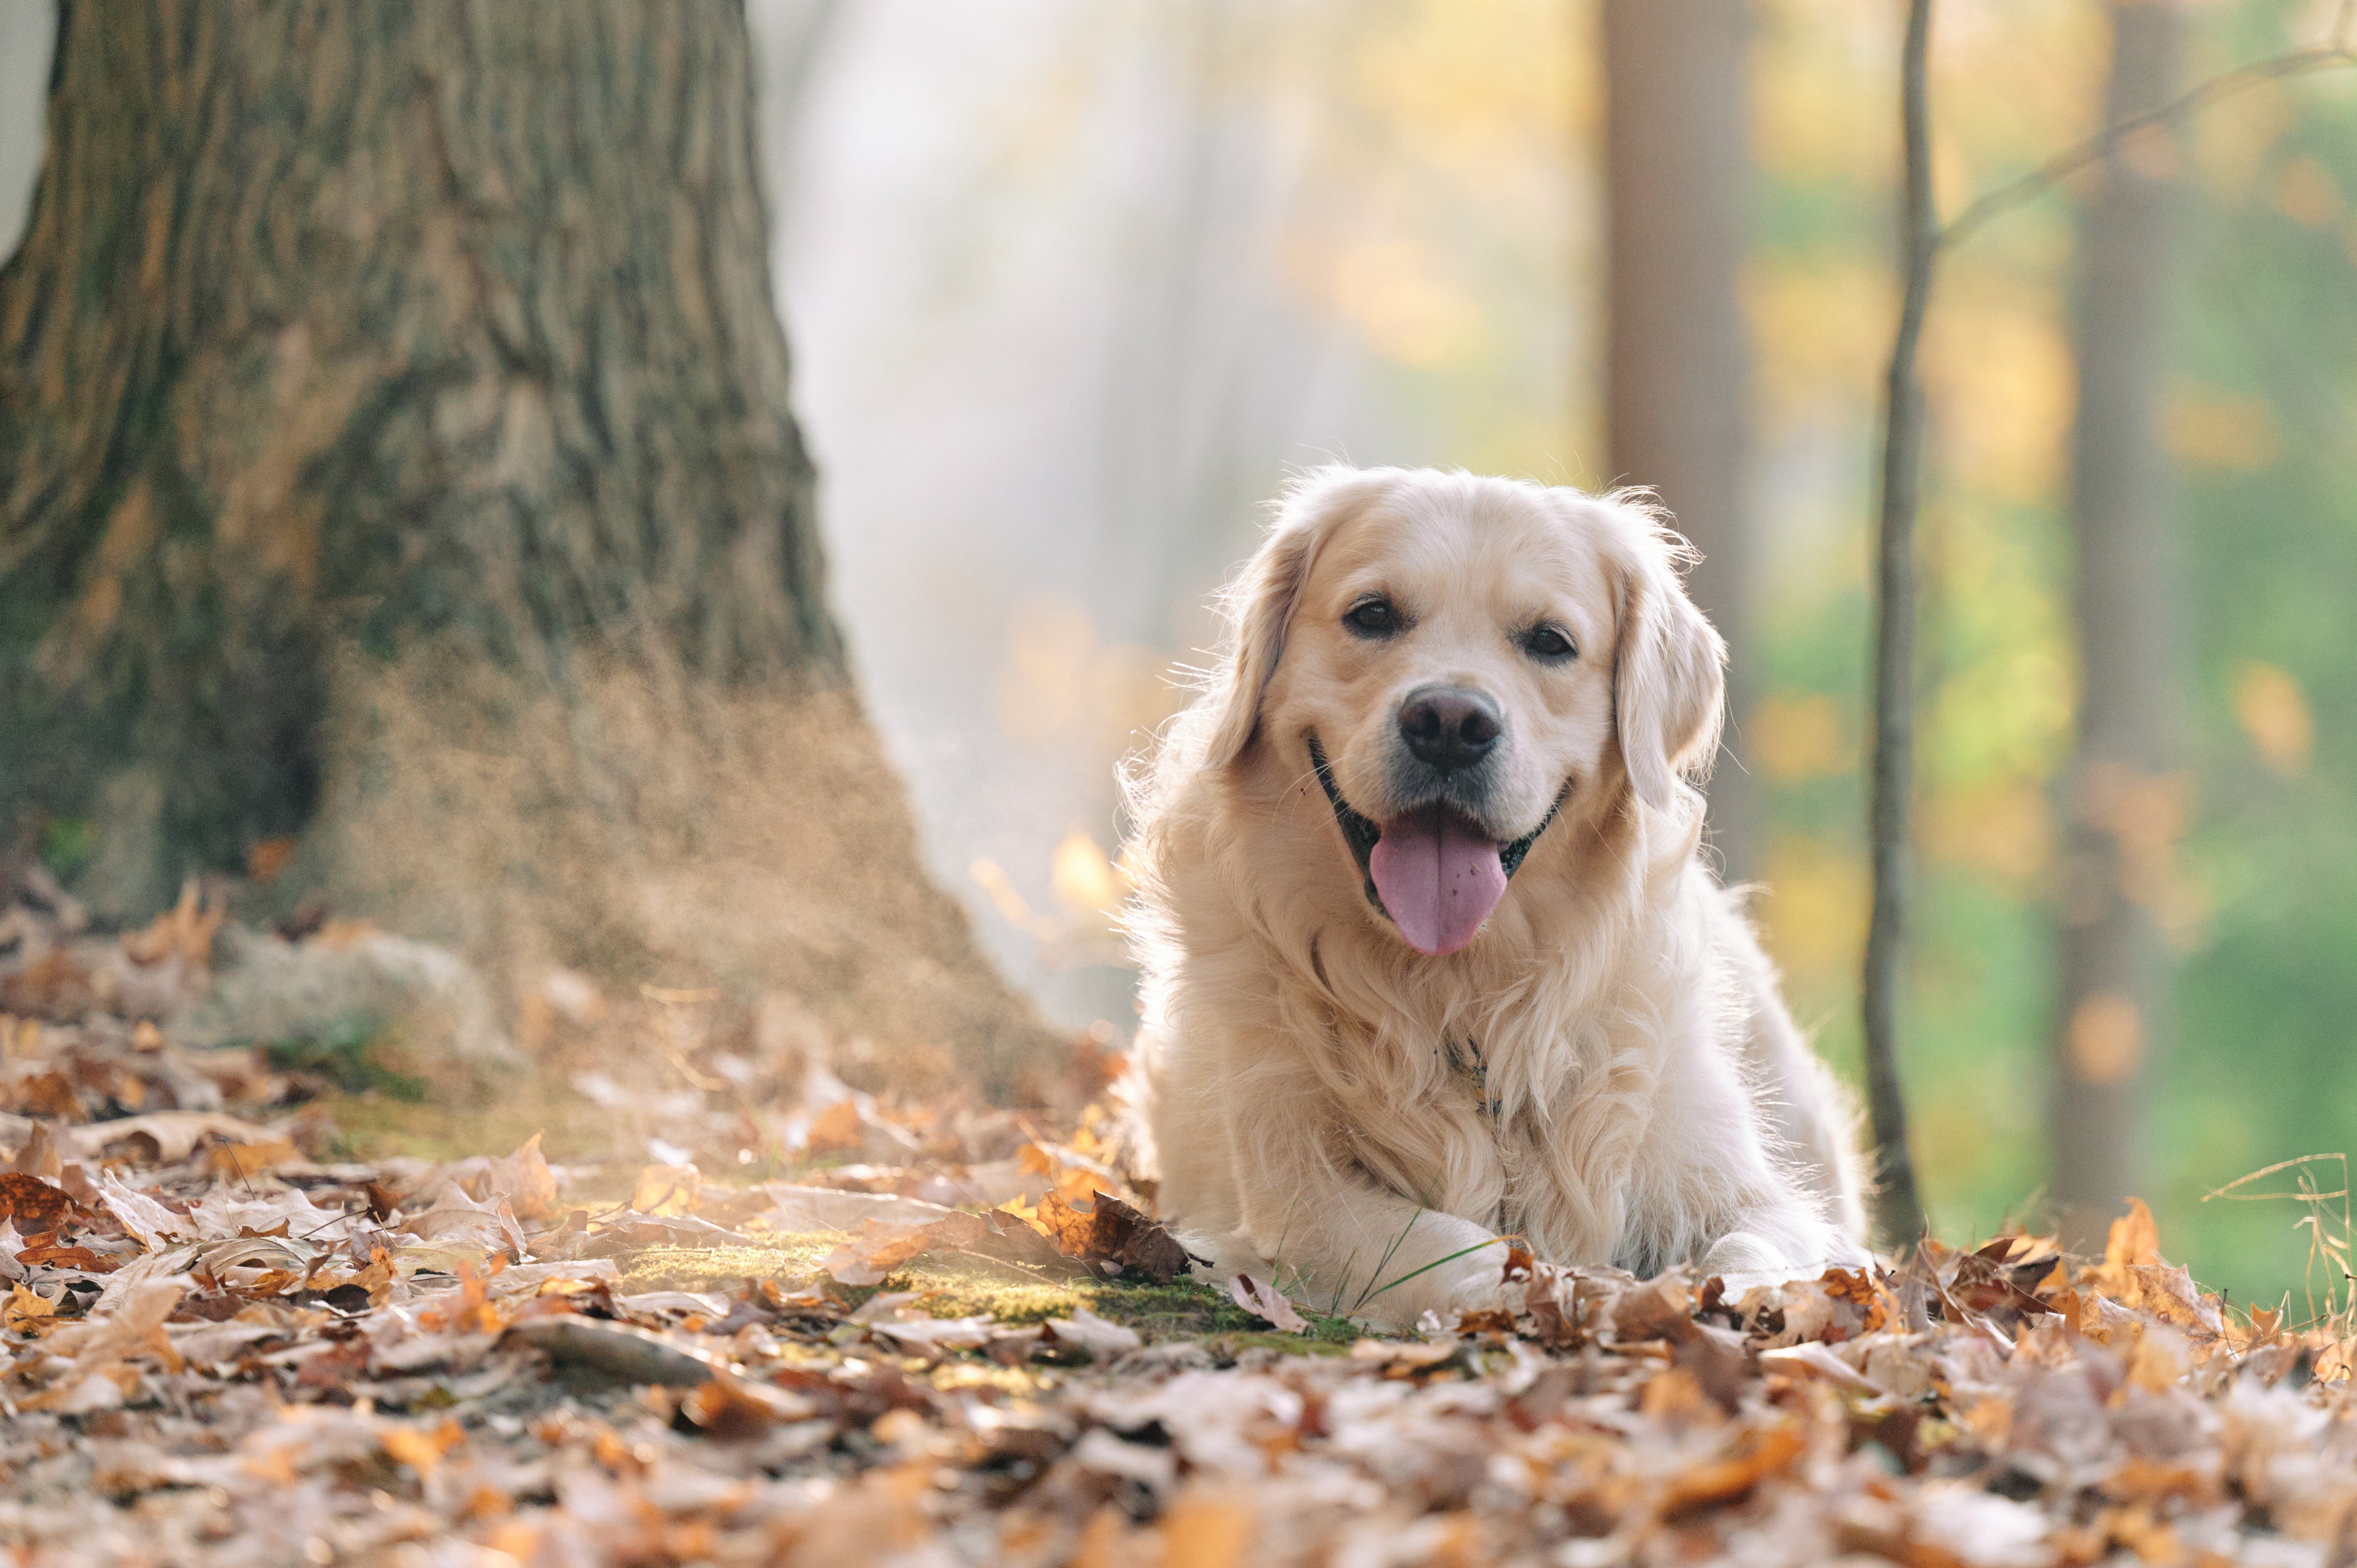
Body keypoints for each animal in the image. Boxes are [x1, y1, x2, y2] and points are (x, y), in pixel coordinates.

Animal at [1127, 462, 1876, 1320]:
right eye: (1372, 615)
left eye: (1550, 641)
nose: (1450, 722)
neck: (1466, 992)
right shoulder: (1297, 1193)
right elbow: (1457, 1246)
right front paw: (1559, 1289)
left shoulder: (1743, 1188)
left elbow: (1770, 1247)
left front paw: (1733, 1295)